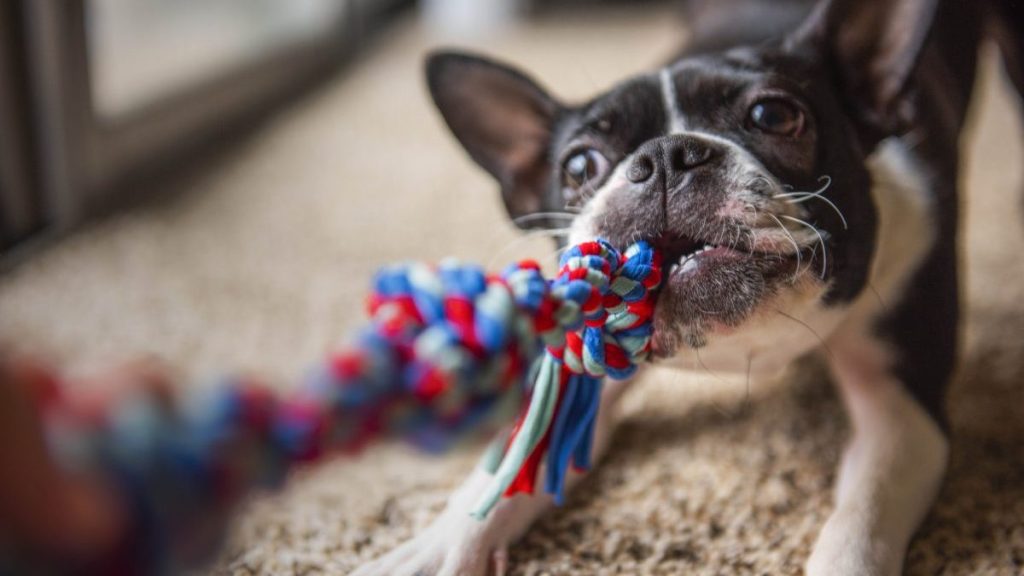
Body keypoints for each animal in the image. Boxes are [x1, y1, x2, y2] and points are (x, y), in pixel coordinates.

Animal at [354, 2, 1024, 569]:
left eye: (774, 116)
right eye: (579, 165)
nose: (666, 156)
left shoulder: (903, 408)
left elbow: (864, 515)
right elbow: (519, 455)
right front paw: (440, 545)